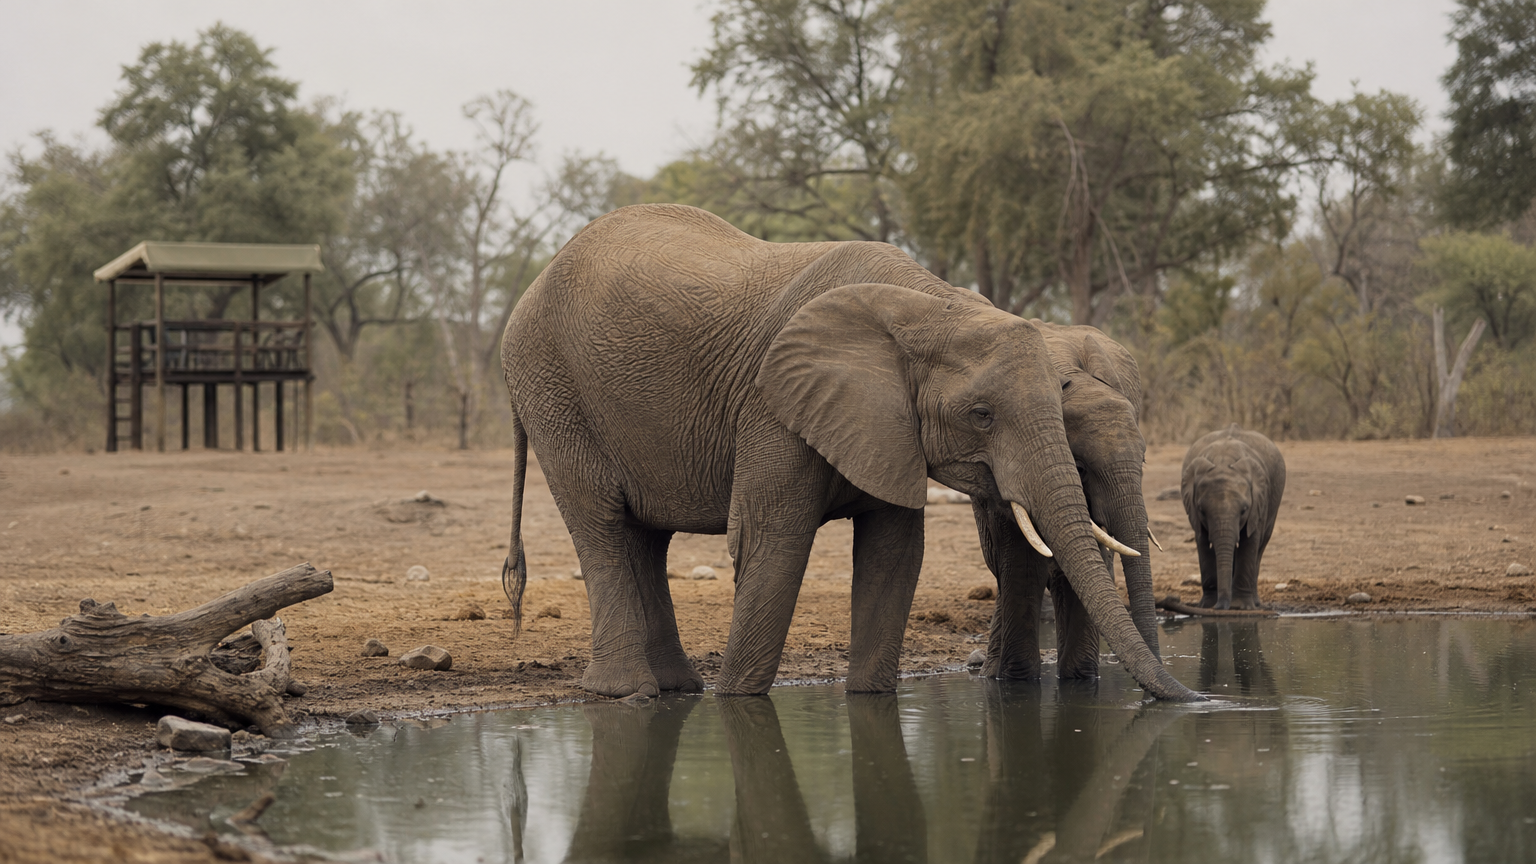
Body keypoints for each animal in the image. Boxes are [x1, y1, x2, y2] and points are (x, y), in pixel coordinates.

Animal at [979, 321, 1160, 682]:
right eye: (1080, 468)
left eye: (1144, 462)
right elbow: (1021, 559)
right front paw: (1018, 680)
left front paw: (1080, 679)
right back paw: (991, 674)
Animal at [1180, 424, 1286, 610]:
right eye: (1201, 511)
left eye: (1244, 510)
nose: (1220, 607)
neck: (1223, 460)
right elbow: (1203, 543)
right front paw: (1207, 606)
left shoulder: (1259, 503)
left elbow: (1249, 541)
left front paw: (1241, 607)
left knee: (1260, 546)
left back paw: (1254, 603)